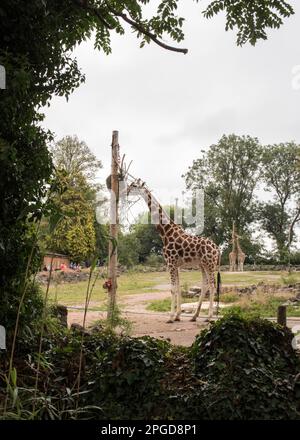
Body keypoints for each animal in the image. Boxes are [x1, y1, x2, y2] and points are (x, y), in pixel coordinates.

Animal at [126, 179, 220, 324]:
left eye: (134, 185)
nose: (126, 190)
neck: (165, 232)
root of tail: (217, 248)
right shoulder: (176, 265)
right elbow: (178, 288)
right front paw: (177, 316)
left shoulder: (170, 263)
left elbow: (172, 289)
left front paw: (170, 317)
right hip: (202, 265)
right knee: (205, 285)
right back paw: (194, 316)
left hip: (210, 264)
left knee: (212, 285)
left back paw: (209, 317)